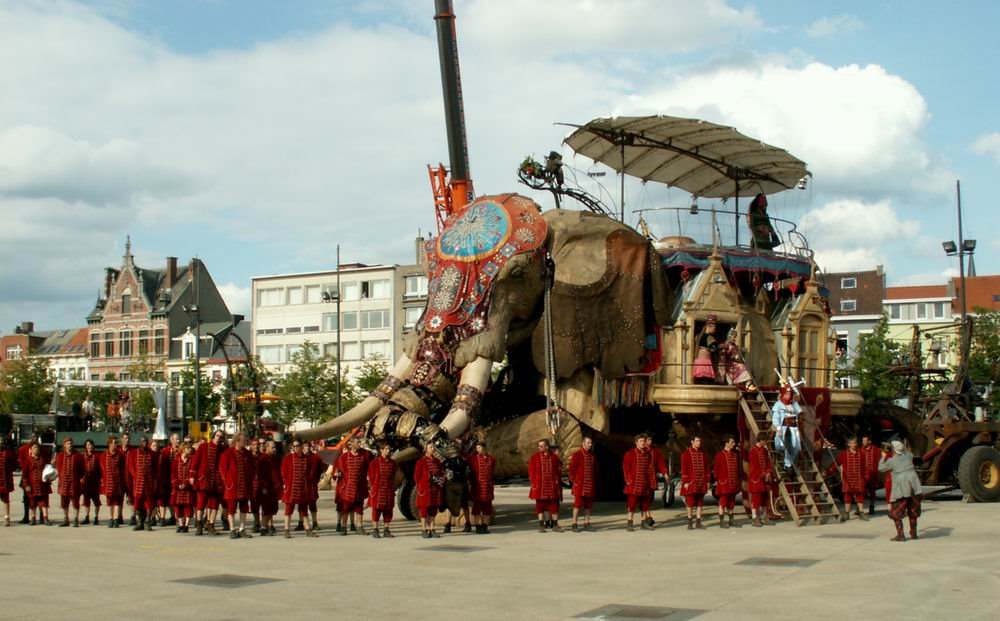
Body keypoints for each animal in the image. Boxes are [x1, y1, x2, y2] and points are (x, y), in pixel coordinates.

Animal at [296, 195, 672, 480]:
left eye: (517, 274)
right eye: (428, 273)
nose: (289, 435)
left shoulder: (578, 330)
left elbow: (567, 419)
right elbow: (506, 401)